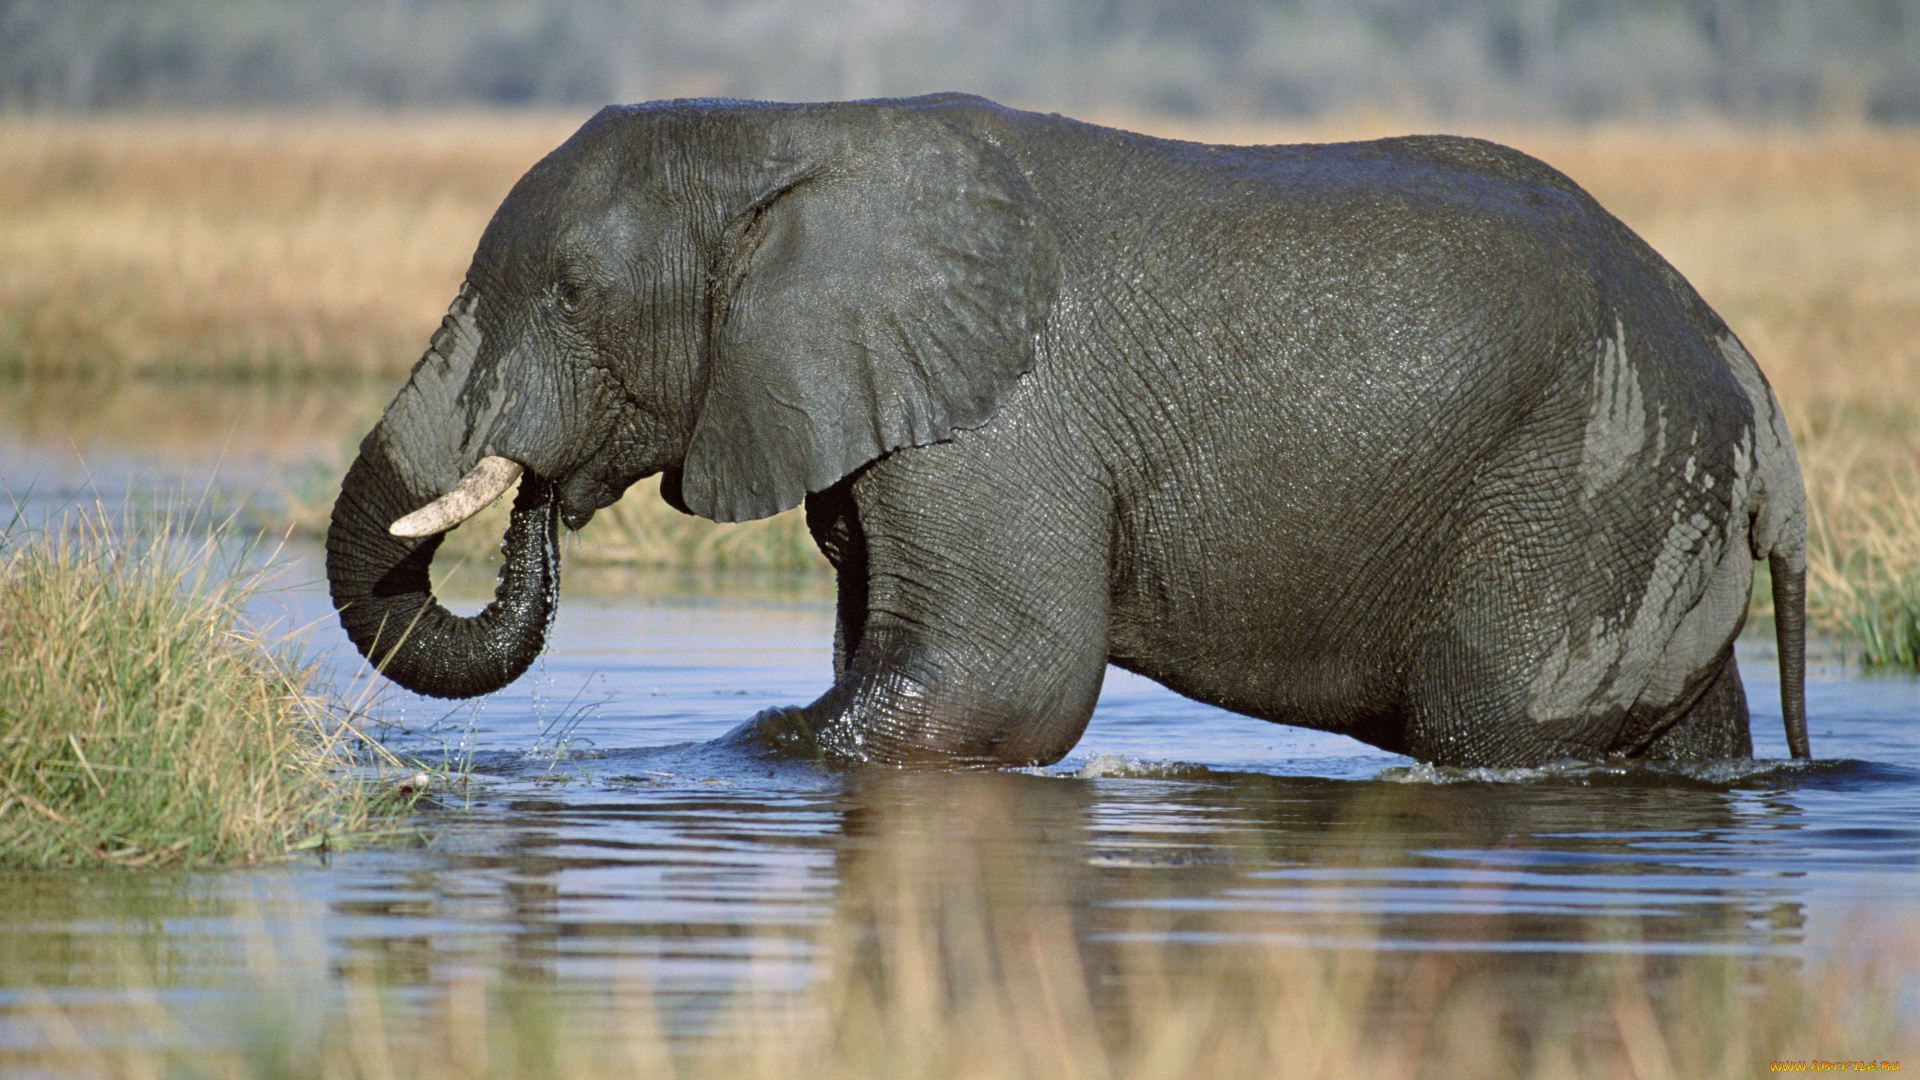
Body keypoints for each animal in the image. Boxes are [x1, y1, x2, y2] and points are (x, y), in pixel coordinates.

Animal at [322, 92, 1804, 764]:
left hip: (1585, 494)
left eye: (573, 296)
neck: (787, 137)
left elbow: (1001, 684)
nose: (538, 500)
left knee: (1496, 727)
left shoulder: (999, 431)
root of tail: (1750, 382)